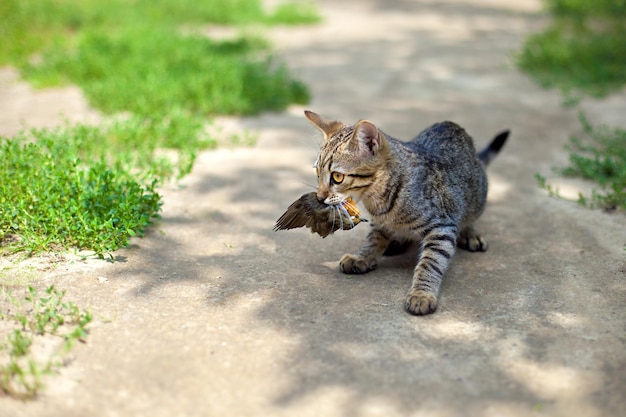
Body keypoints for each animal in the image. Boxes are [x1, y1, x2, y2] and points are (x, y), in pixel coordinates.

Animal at [302, 109, 508, 314]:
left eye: (337, 177)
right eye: (318, 174)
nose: (319, 197)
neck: (378, 200)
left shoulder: (442, 227)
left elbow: (430, 262)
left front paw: (421, 293)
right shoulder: (379, 222)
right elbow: (374, 239)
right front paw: (363, 256)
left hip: (477, 197)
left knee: (469, 218)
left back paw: (470, 233)